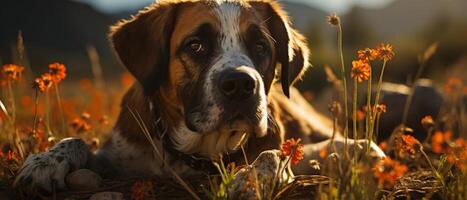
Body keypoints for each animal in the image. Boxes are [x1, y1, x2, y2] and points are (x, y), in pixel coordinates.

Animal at [15, 0, 388, 194]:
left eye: (260, 46)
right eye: (195, 45)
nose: (240, 84)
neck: (195, 152)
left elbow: (274, 153)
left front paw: (255, 176)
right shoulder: (120, 155)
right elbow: (77, 140)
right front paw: (44, 162)